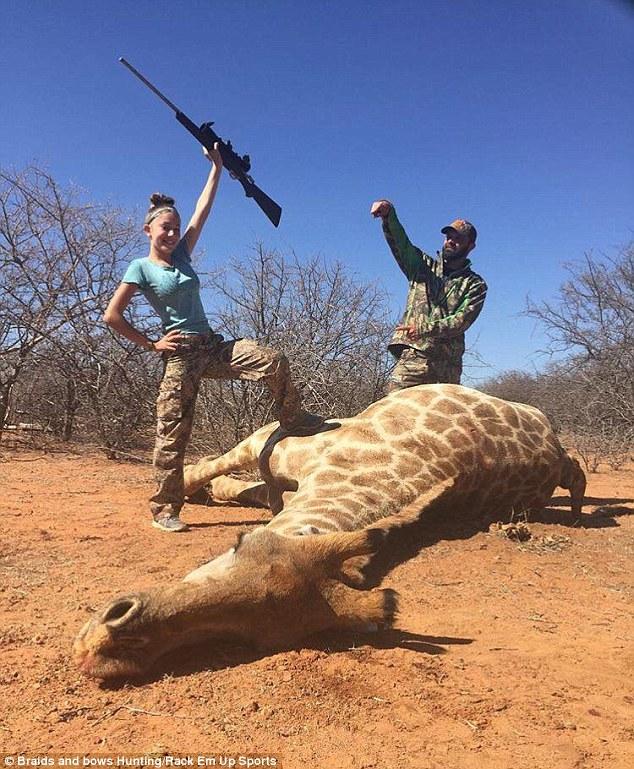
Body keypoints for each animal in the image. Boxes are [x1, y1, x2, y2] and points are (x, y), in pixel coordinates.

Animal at [73, 384, 584, 680]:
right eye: (238, 545)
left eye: (249, 637)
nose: (102, 646)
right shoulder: (272, 440)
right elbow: (211, 469)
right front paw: (176, 501)